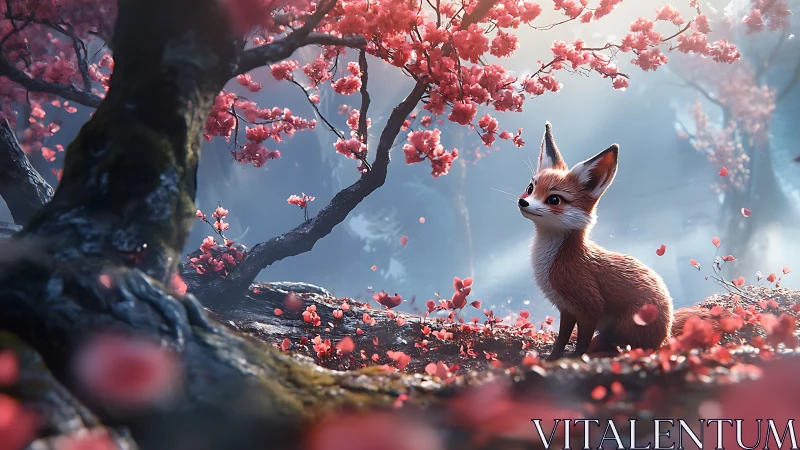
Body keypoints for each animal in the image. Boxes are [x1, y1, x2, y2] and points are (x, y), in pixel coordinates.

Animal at [519, 122, 704, 360]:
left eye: (554, 199)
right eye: (530, 188)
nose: (523, 202)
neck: (553, 261)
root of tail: (666, 333)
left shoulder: (589, 308)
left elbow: (581, 344)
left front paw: (577, 359)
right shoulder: (566, 309)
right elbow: (561, 340)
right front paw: (551, 359)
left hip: (625, 326)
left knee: (627, 347)